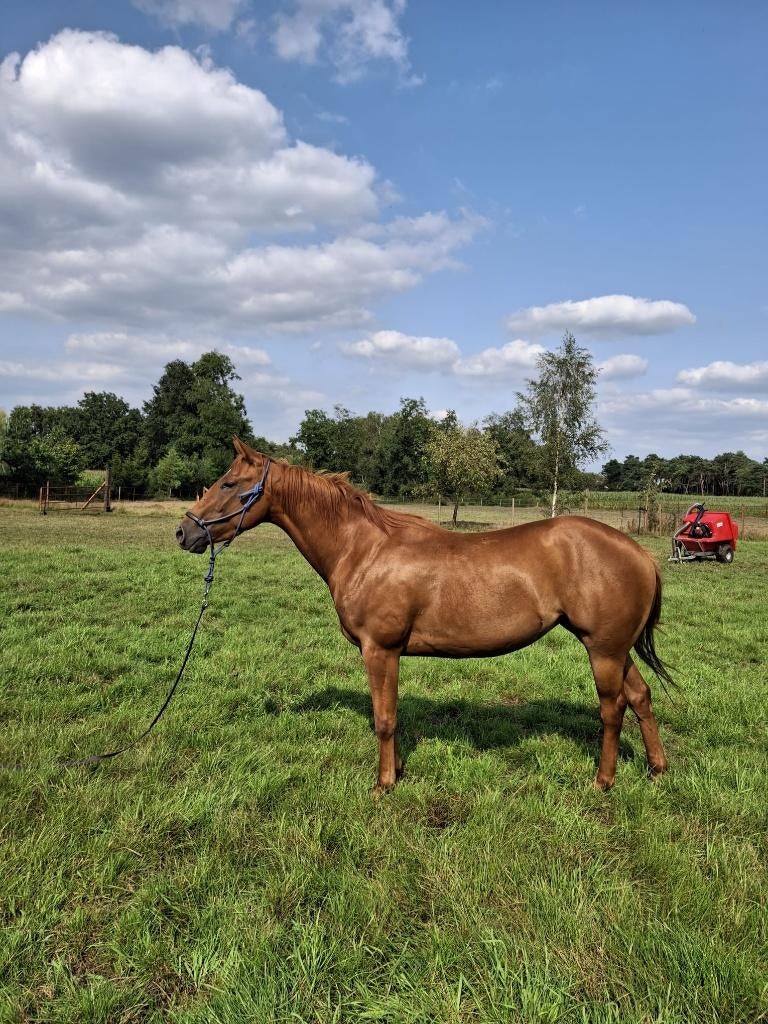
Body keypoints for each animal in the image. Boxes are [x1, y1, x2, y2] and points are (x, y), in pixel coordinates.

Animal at [177, 438, 671, 794]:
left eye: (227, 484)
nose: (184, 532)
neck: (364, 550)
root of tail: (641, 555)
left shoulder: (380, 650)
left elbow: (384, 719)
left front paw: (383, 784)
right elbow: (391, 715)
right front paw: (394, 772)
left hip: (603, 651)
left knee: (613, 709)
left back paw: (603, 782)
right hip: (615, 649)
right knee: (640, 697)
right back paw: (656, 769)